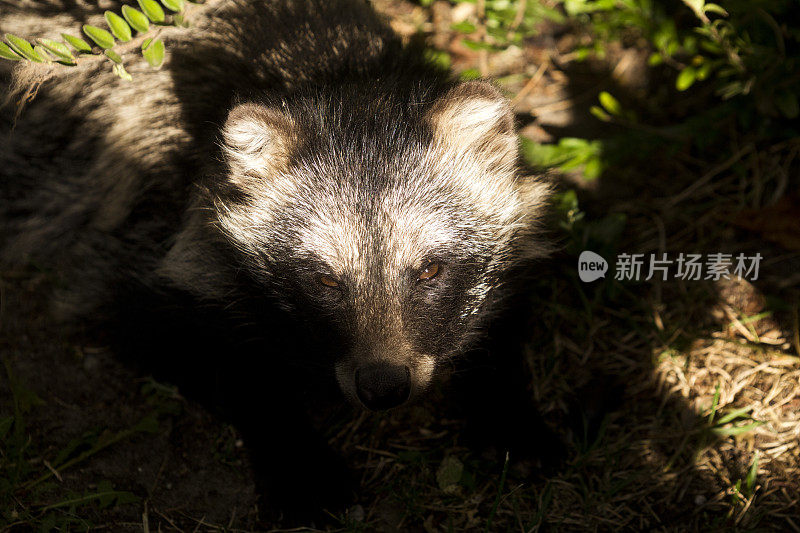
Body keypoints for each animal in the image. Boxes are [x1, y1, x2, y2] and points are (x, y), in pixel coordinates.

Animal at [1, 0, 556, 516]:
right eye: (325, 281)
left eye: (430, 270)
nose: (383, 389)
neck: (335, 69)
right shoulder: (138, 230)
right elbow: (208, 351)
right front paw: (297, 451)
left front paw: (504, 402)